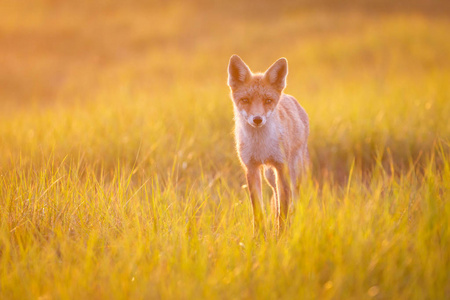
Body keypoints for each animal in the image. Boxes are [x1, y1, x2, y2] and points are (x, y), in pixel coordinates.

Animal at [227, 55, 308, 234]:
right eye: (245, 100)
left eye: (268, 101)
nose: (257, 119)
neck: (260, 146)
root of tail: (290, 97)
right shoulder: (251, 168)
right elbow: (258, 210)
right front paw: (259, 236)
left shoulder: (281, 166)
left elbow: (283, 209)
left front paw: (281, 235)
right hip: (270, 176)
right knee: (276, 195)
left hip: (294, 172)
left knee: (295, 198)